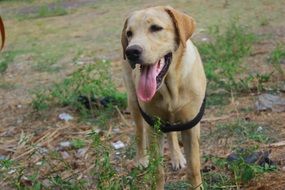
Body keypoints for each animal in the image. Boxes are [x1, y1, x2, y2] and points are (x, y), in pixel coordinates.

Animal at [121, 5, 205, 189]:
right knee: (139, 132)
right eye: (129, 33)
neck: (170, 87)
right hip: (133, 102)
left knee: (171, 133)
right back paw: (141, 159)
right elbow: (157, 171)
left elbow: (194, 169)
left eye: (156, 28)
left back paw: (177, 156)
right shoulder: (153, 127)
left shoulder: (191, 126)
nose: (131, 52)